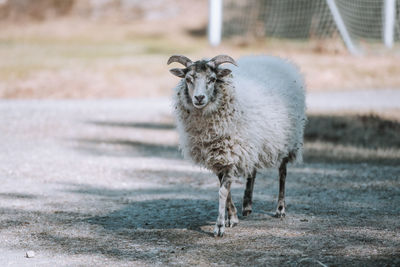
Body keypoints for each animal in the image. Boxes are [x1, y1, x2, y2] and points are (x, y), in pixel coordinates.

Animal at [166, 54, 306, 237]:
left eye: (212, 79)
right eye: (189, 79)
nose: (199, 98)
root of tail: (274, 59)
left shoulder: (230, 155)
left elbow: (222, 191)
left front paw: (220, 226)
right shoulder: (219, 157)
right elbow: (227, 191)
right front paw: (232, 218)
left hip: (288, 140)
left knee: (282, 173)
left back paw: (280, 208)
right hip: (254, 144)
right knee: (252, 173)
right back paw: (247, 206)